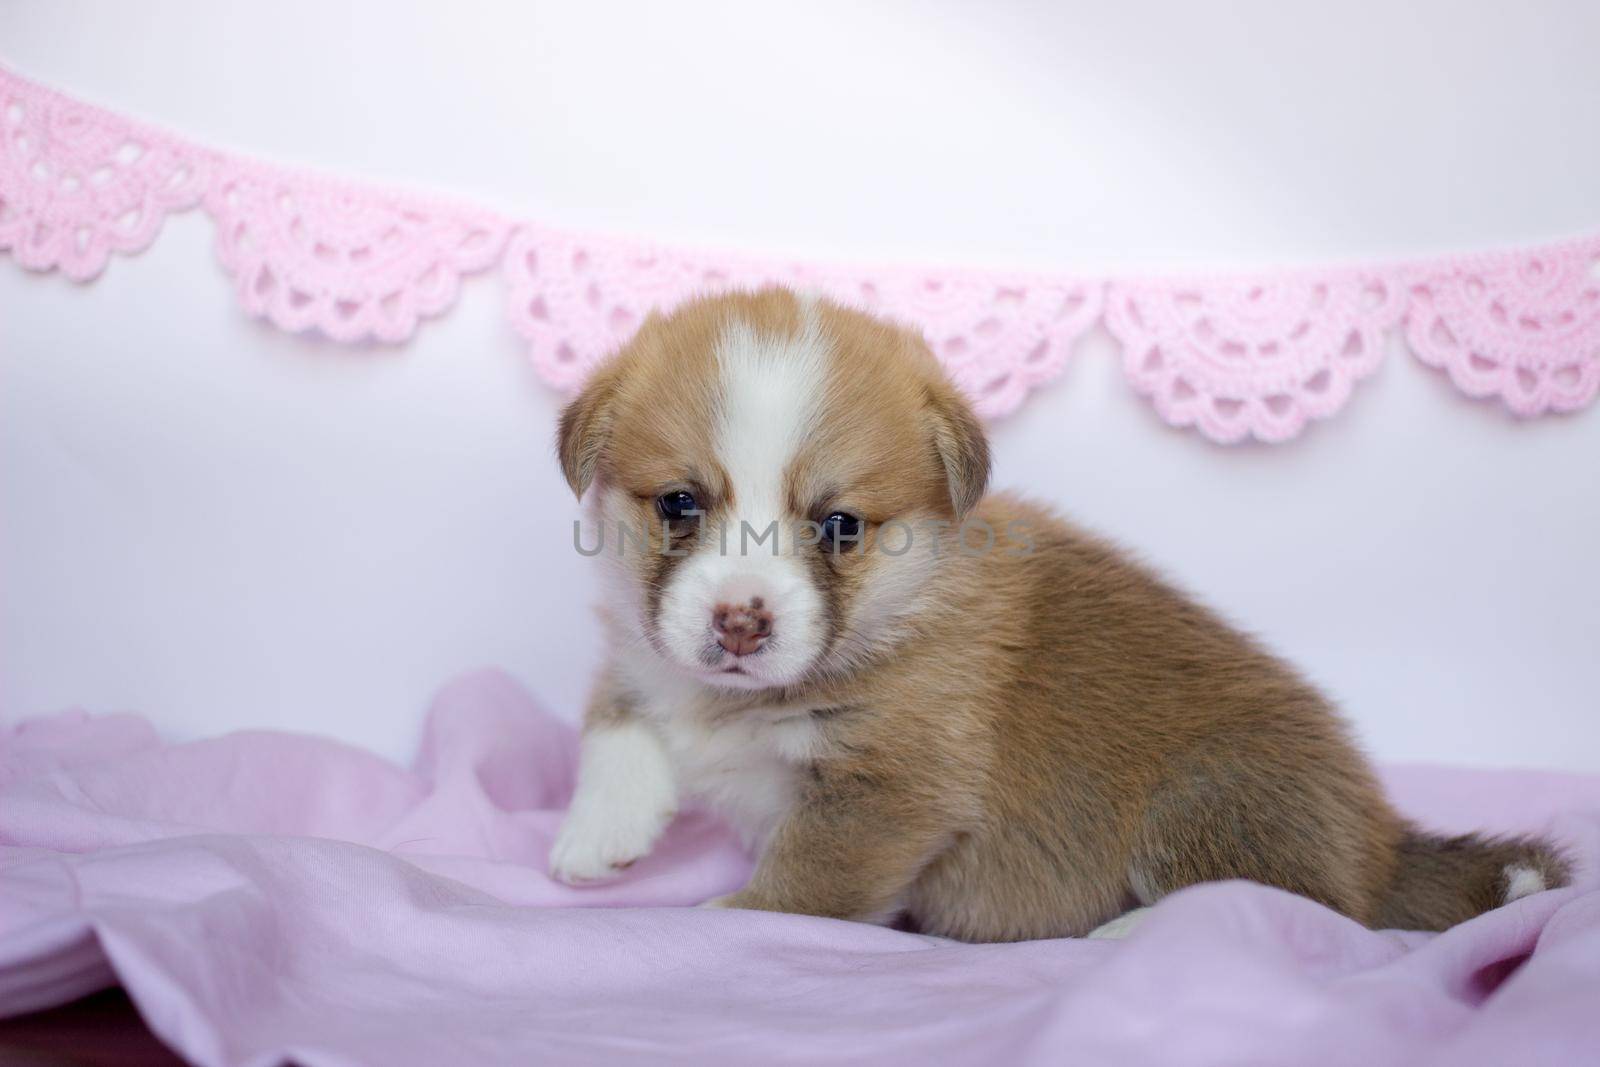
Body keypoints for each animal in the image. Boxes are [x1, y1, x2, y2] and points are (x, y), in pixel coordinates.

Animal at [544, 286, 1568, 940]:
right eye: (679, 503)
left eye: (839, 524)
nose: (740, 624)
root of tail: (1383, 845)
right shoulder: (645, 649)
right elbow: (615, 719)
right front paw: (595, 838)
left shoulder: (892, 789)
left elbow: (809, 879)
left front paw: (733, 919)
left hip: (1207, 797)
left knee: (1289, 906)